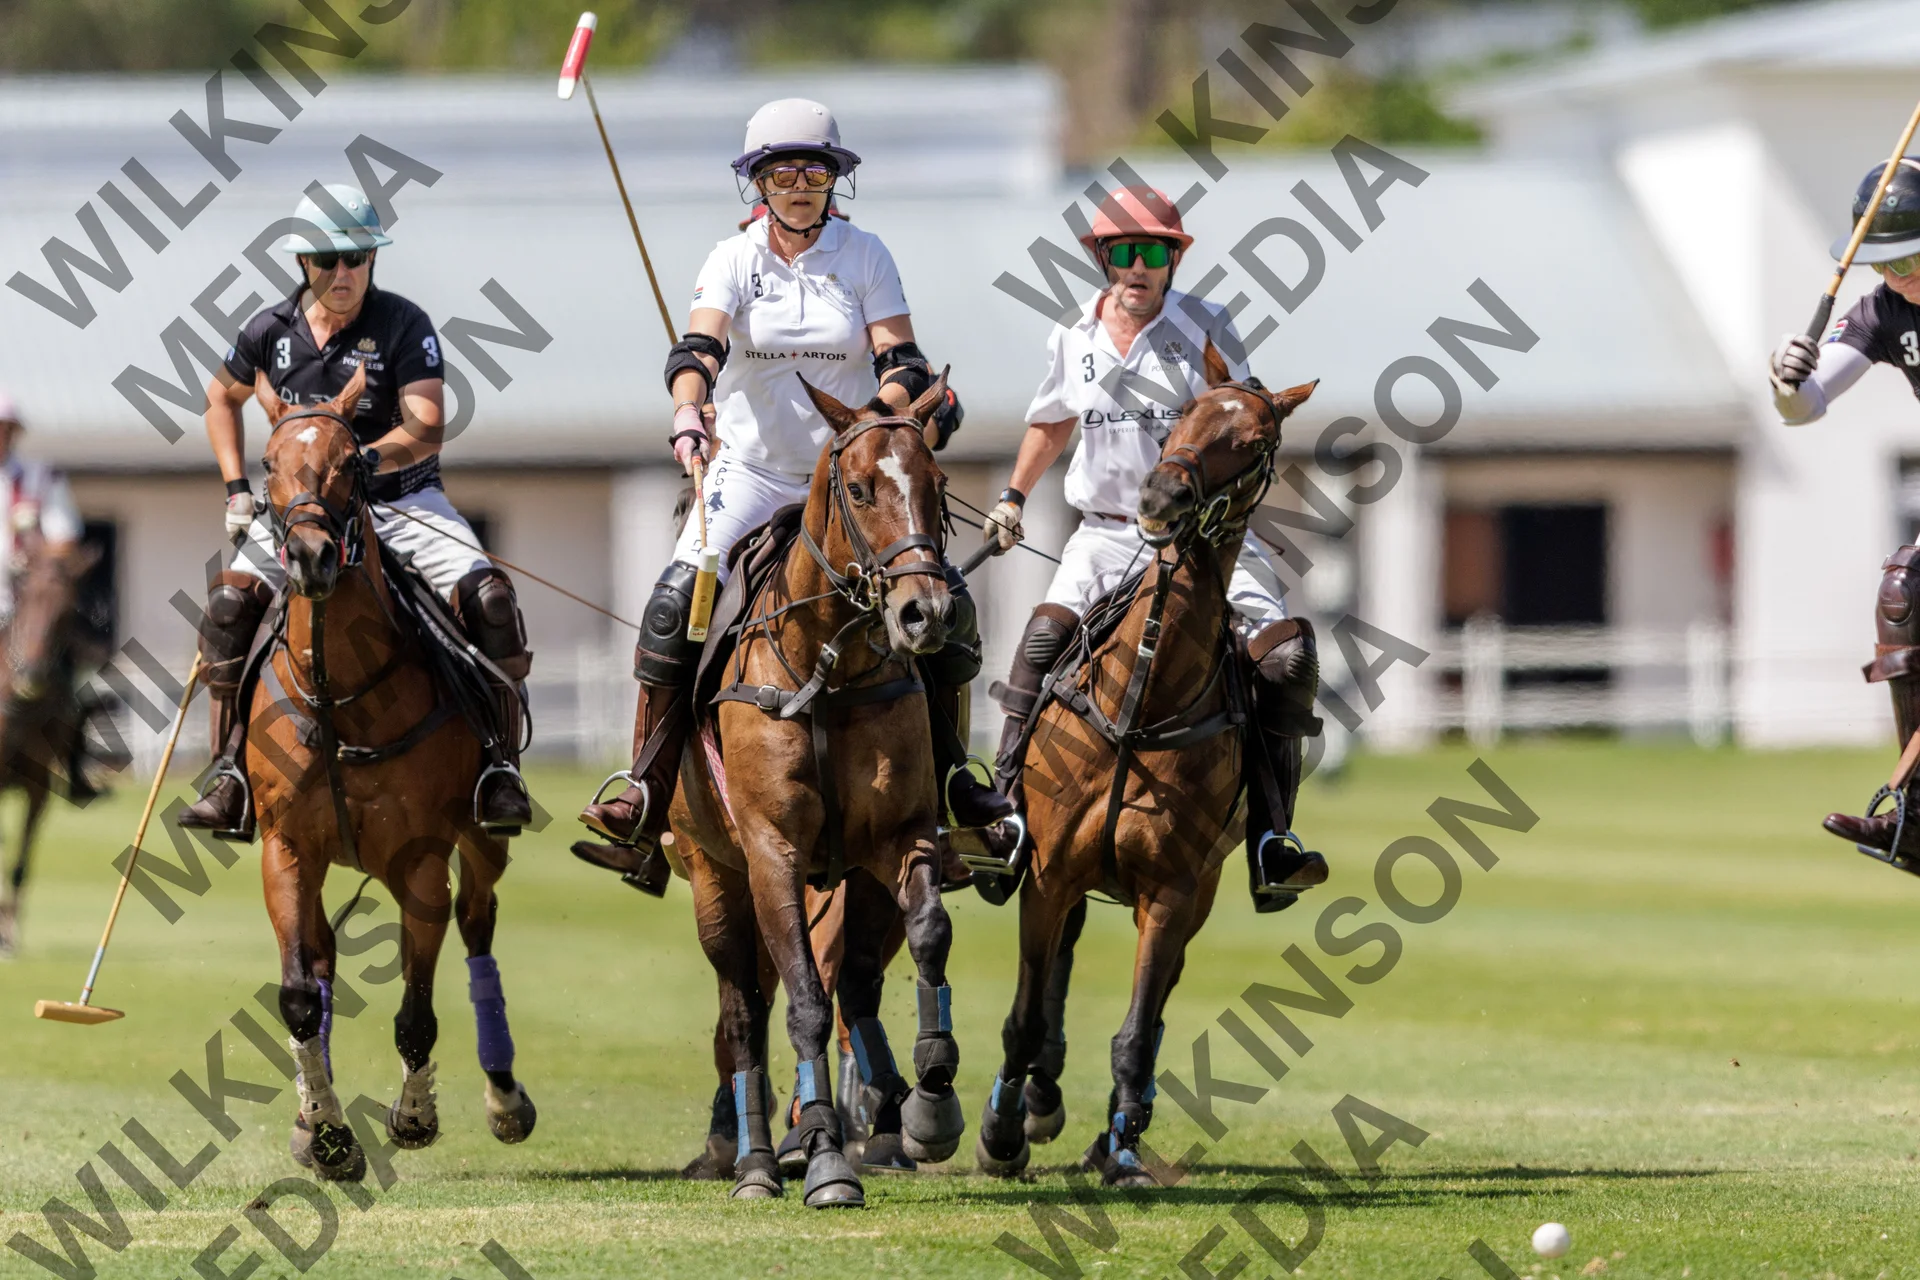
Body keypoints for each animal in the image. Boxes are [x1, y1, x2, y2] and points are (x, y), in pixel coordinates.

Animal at [246, 367, 536, 1180]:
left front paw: (414, 1117)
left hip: (482, 838)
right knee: (321, 954)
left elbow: (415, 1013)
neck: (342, 692)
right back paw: (311, 1121)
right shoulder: (285, 848)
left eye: (352, 463)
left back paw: (506, 1098)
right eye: (267, 463)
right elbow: (297, 995)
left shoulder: (420, 858)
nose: (310, 555)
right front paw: (327, 1136)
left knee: (478, 924)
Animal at [664, 375, 966, 1208]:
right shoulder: (772, 854)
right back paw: (756, 1163)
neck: (827, 664)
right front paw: (827, 1161)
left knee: (852, 983)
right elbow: (801, 999)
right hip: (714, 874)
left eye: (938, 485)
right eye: (859, 489)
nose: (926, 613)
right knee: (743, 1011)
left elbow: (930, 934)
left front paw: (932, 1101)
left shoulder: (904, 833)